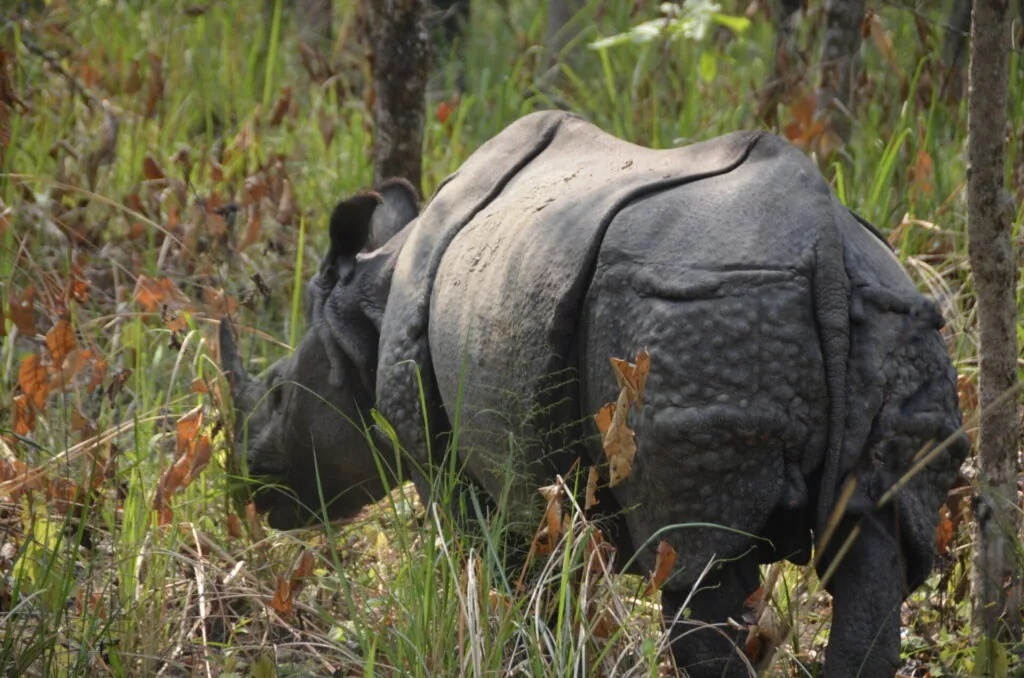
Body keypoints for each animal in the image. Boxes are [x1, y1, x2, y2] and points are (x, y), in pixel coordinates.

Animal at [220, 111, 968, 677]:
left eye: (279, 397)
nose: (250, 488)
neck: (366, 311)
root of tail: (824, 246)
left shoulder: (455, 465)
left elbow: (514, 581)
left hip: (694, 315)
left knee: (694, 574)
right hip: (895, 318)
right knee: (876, 553)